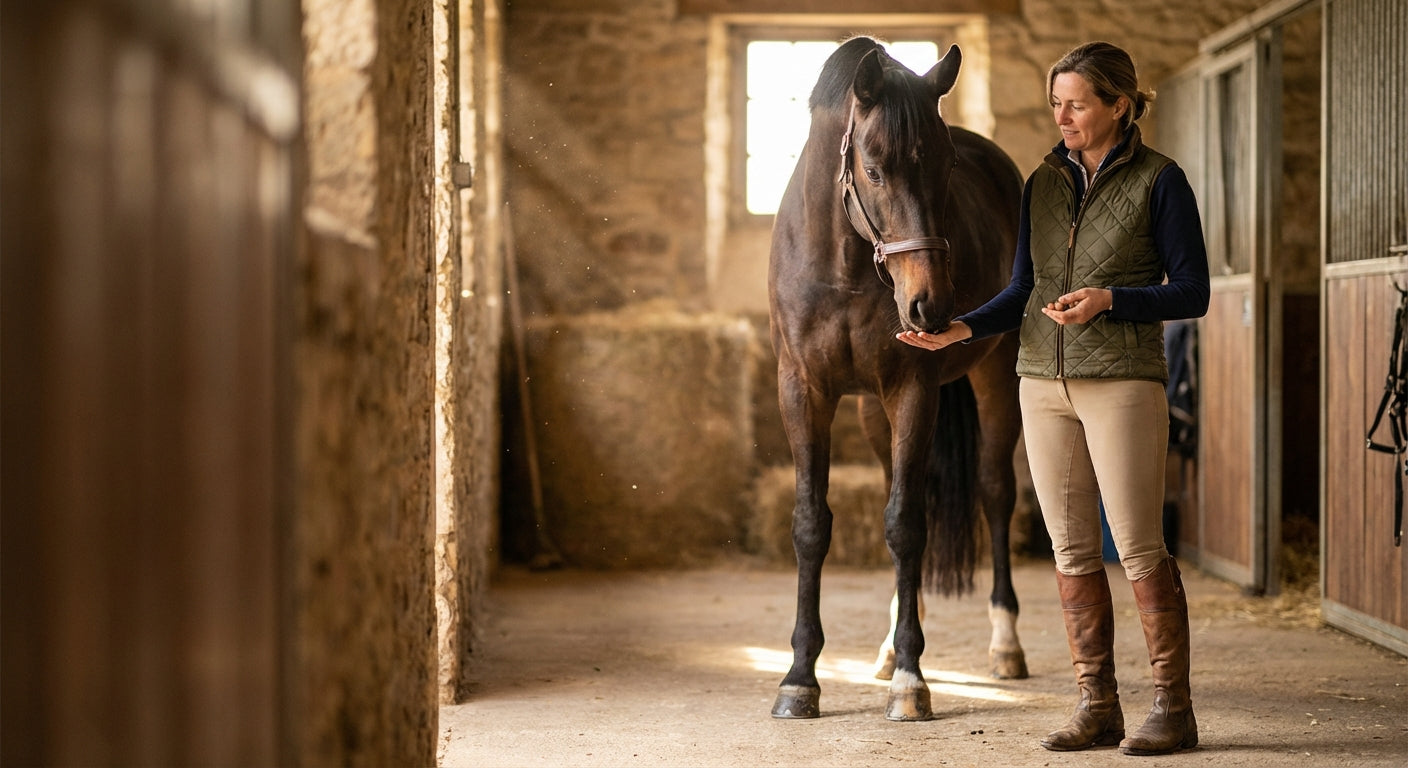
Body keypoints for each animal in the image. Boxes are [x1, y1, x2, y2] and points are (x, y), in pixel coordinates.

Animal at [766, 36, 1026, 721]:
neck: (844, 265)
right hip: (870, 412)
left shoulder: (913, 390)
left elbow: (907, 524)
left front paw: (913, 681)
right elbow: (812, 525)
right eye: (875, 169)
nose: (929, 306)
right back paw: (884, 650)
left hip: (997, 377)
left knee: (995, 493)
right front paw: (799, 678)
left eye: (946, 167)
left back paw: (1005, 645)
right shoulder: (804, 391)